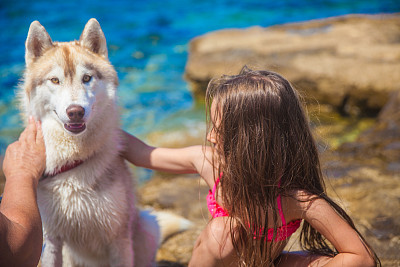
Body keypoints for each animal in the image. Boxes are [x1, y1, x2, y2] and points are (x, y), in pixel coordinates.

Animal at [18, 18, 188, 266]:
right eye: (55, 80)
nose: (75, 112)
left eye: (87, 78)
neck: (74, 162)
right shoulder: (51, 239)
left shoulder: (117, 238)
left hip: (146, 225)